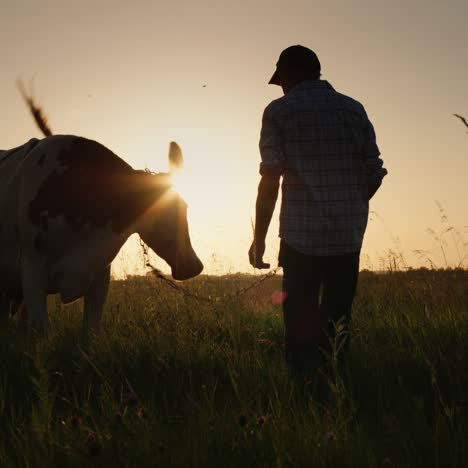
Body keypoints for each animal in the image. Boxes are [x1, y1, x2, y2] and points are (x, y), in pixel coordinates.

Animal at [0, 133, 204, 334]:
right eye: (162, 210)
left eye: (185, 207)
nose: (194, 266)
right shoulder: (32, 267)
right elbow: (41, 327)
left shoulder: (101, 270)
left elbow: (91, 327)